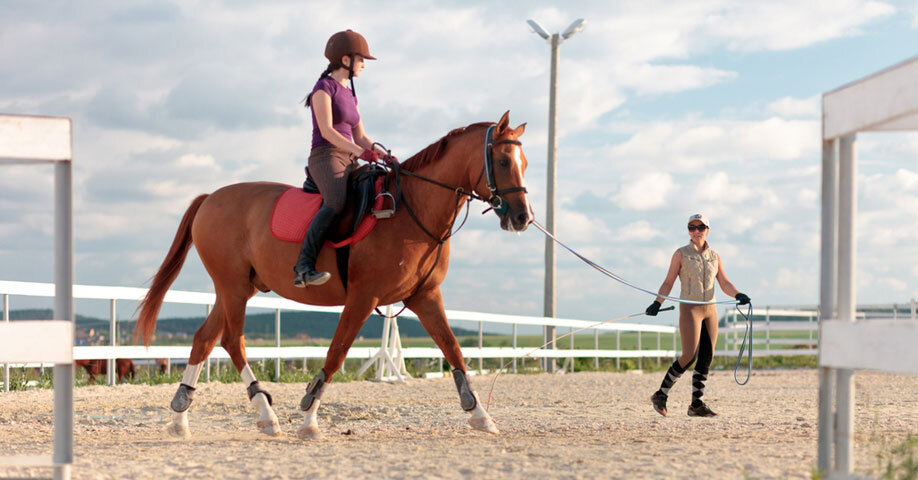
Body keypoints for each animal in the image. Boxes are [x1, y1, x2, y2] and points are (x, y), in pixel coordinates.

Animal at [135, 111, 532, 438]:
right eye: (501, 160)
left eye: (524, 163)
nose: (522, 218)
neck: (411, 210)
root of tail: (210, 198)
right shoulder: (363, 297)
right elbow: (336, 353)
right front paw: (309, 419)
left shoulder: (425, 295)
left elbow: (453, 350)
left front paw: (481, 415)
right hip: (232, 287)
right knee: (233, 341)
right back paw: (266, 414)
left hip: (238, 288)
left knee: (204, 338)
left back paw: (180, 419)